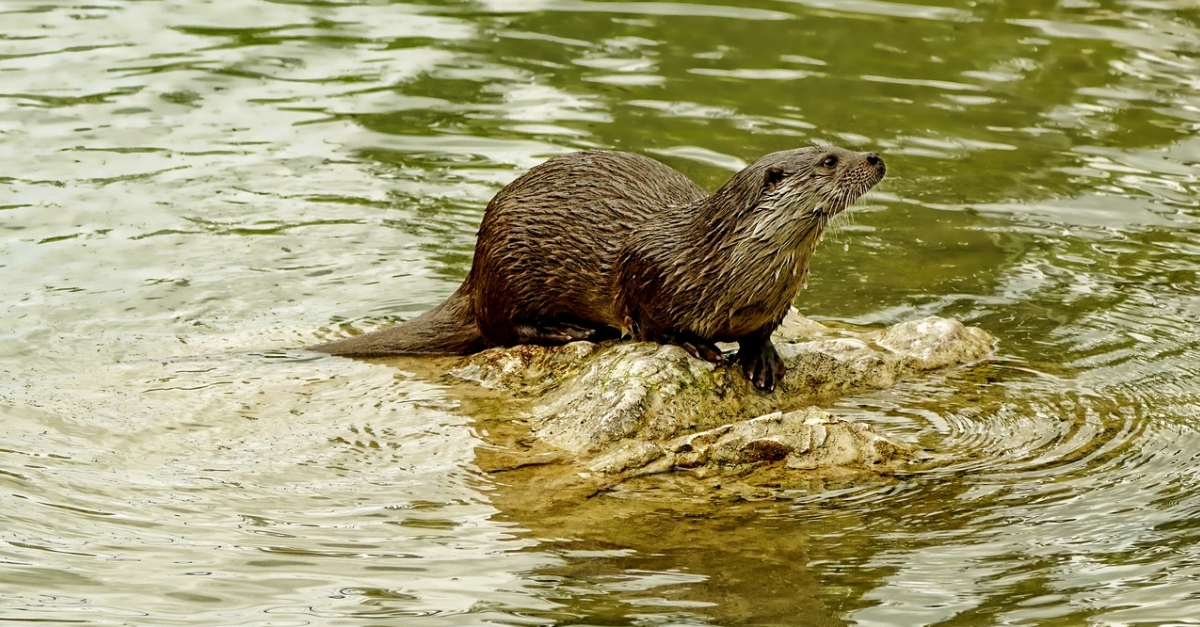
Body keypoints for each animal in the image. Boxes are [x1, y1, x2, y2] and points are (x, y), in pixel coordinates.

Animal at [314, 146, 888, 389]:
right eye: (830, 160)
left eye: (840, 144)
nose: (876, 158)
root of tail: (474, 270)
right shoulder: (648, 271)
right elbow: (653, 324)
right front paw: (697, 345)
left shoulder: (774, 304)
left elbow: (761, 334)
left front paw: (761, 359)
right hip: (509, 265)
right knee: (504, 327)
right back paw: (575, 330)